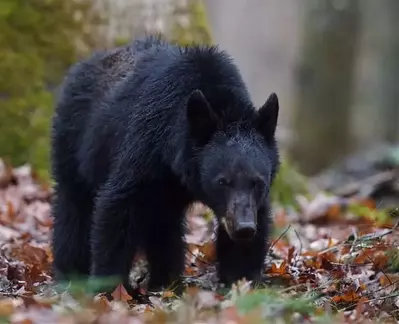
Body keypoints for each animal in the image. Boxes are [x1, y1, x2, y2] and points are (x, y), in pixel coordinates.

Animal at [50, 34, 282, 292]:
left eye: (258, 182)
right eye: (222, 181)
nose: (244, 228)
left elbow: (254, 225)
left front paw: (241, 280)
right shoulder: (145, 146)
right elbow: (117, 208)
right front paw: (108, 285)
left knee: (164, 228)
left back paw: (166, 282)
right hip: (73, 144)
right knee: (73, 207)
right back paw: (70, 272)